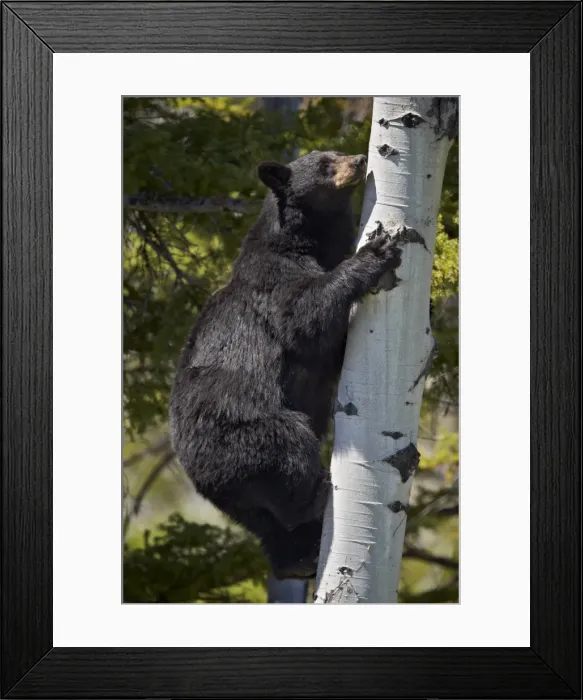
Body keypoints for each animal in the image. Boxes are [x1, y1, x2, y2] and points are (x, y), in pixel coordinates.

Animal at [169, 150, 402, 580]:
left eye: (334, 152)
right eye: (324, 163)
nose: (358, 159)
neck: (304, 240)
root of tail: (199, 475)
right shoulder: (274, 279)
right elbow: (306, 315)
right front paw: (375, 251)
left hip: (240, 501)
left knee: (269, 524)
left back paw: (298, 558)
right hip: (244, 432)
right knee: (290, 448)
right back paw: (315, 497)